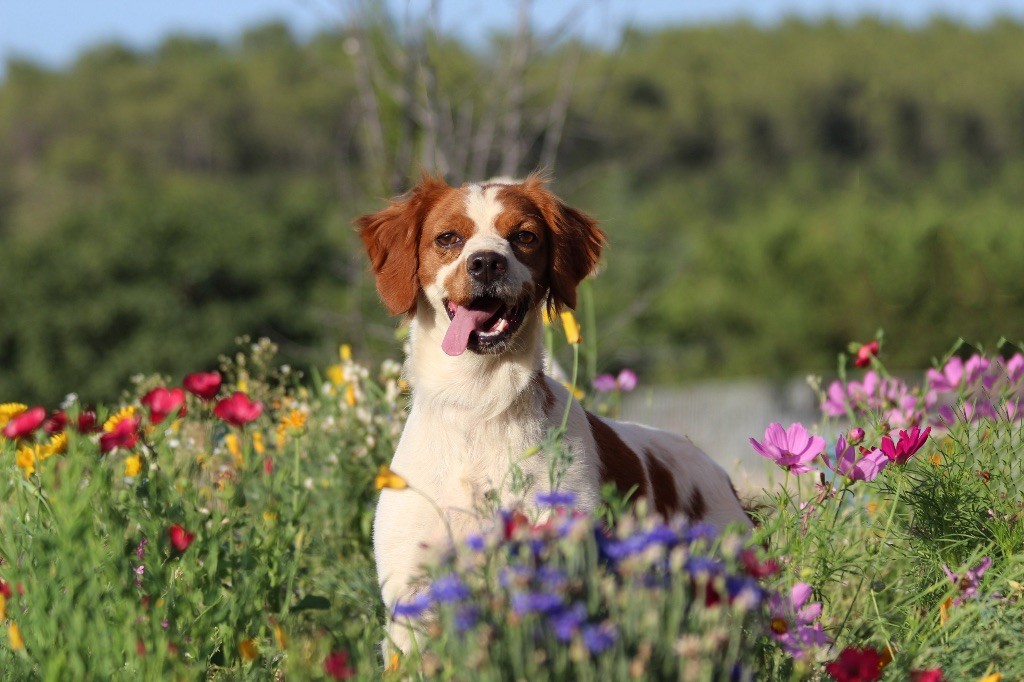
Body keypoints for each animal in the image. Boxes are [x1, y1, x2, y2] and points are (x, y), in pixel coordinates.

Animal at [358, 173, 753, 651]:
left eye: (525, 236)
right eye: (448, 238)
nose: (486, 263)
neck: (478, 406)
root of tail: (718, 471)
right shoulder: (410, 597)